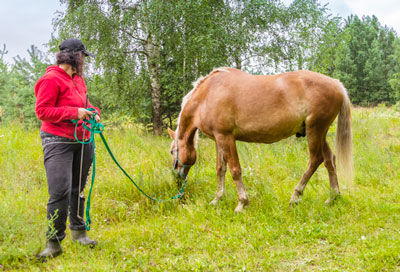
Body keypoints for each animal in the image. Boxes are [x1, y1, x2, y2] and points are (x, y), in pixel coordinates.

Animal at [167, 68, 352, 212]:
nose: (176, 177)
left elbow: (235, 170)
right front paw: (217, 199)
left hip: (315, 130)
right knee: (329, 159)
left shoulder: (226, 137)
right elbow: (221, 169)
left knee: (315, 160)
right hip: (319, 133)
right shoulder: (218, 139)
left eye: (171, 151)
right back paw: (333, 197)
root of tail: (336, 84)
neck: (207, 94)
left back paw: (295, 197)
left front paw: (242, 203)